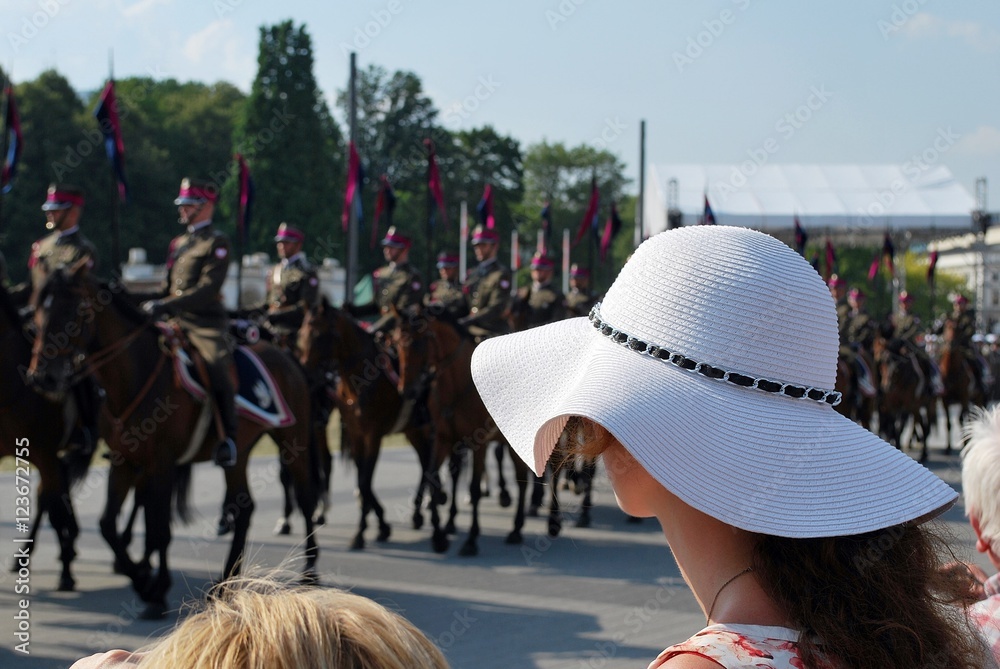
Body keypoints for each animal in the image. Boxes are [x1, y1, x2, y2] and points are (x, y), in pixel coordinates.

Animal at [26, 264, 320, 620]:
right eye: (37, 312)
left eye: (74, 311)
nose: (42, 377)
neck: (136, 373)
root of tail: (287, 356)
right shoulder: (125, 461)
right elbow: (109, 525)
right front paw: (142, 581)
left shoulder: (162, 464)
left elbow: (159, 529)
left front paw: (155, 590)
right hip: (239, 454)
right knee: (245, 507)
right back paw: (224, 584)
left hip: (294, 442)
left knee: (306, 499)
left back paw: (309, 573)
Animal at [294, 298, 440, 548]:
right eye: (301, 334)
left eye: (318, 335)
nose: (306, 376)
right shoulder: (356, 434)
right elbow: (363, 480)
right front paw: (380, 524)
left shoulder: (372, 435)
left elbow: (364, 481)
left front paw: (362, 532)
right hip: (413, 431)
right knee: (424, 462)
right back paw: (420, 511)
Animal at [390, 310, 536, 556]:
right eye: (397, 343)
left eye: (418, 344)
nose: (406, 390)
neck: (456, 381)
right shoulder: (442, 439)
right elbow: (433, 477)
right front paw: (439, 536)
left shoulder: (479, 443)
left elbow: (474, 488)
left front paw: (471, 539)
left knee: (522, 479)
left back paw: (516, 528)